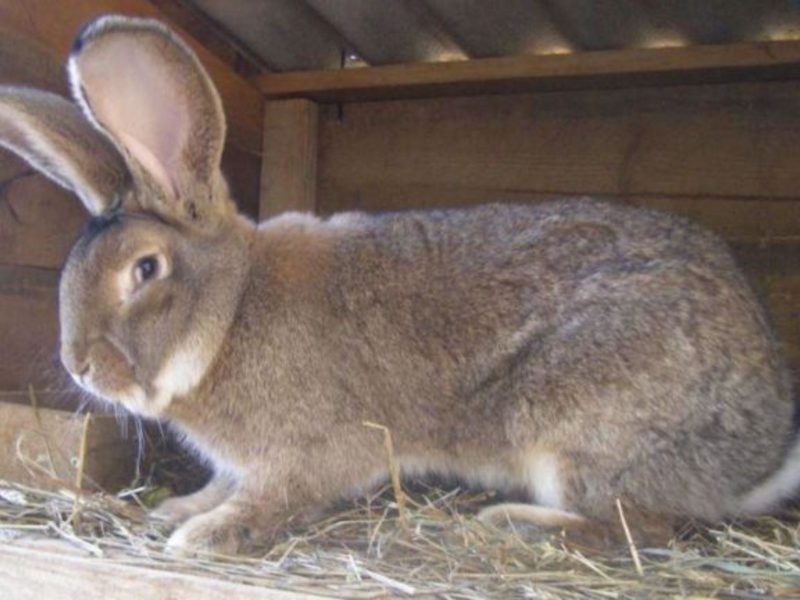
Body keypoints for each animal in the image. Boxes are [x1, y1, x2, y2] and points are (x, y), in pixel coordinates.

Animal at [1, 14, 798, 556]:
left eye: (145, 269)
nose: (79, 365)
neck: (230, 315)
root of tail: (765, 446)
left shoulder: (307, 453)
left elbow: (275, 497)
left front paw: (207, 534)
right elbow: (226, 483)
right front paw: (182, 510)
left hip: (577, 426)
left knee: (648, 524)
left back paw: (517, 521)